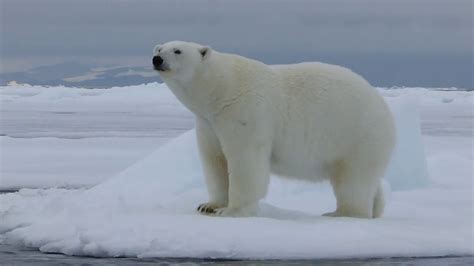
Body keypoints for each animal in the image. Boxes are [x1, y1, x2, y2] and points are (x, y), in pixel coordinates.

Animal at [153, 40, 396, 218]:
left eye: (177, 50)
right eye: (159, 48)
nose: (157, 59)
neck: (221, 88)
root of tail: (385, 109)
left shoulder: (244, 113)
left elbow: (245, 162)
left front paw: (232, 210)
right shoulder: (209, 123)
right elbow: (215, 160)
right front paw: (209, 205)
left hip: (357, 133)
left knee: (354, 180)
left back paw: (342, 213)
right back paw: (375, 209)